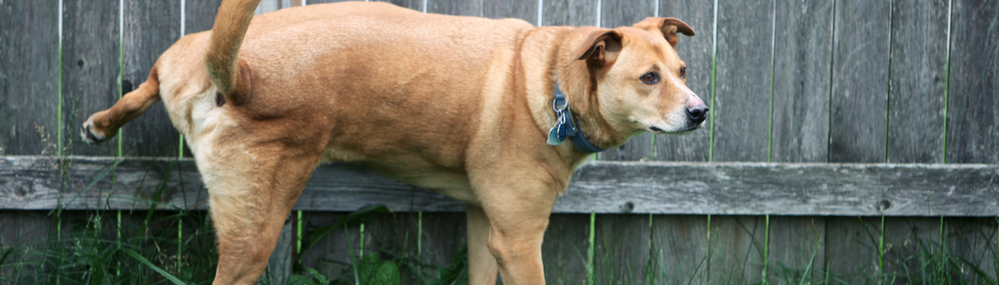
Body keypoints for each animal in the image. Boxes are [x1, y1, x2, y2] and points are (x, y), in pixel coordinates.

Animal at [80, 1, 704, 282]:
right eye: (649, 79)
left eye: (682, 70)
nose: (700, 112)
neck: (552, 79)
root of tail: (238, 75)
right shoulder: (521, 240)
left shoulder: (489, 226)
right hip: (254, 230)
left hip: (184, 52)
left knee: (151, 76)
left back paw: (105, 121)